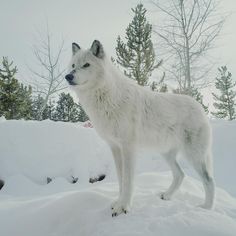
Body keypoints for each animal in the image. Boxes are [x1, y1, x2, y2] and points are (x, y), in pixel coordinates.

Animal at [65, 40, 215, 216]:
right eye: (73, 65)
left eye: (86, 65)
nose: (68, 76)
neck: (107, 97)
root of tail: (199, 107)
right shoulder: (115, 148)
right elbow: (121, 180)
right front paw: (117, 203)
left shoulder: (128, 148)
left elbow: (128, 181)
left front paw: (123, 207)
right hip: (167, 154)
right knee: (180, 175)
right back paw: (167, 196)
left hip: (194, 156)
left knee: (209, 180)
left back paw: (206, 208)